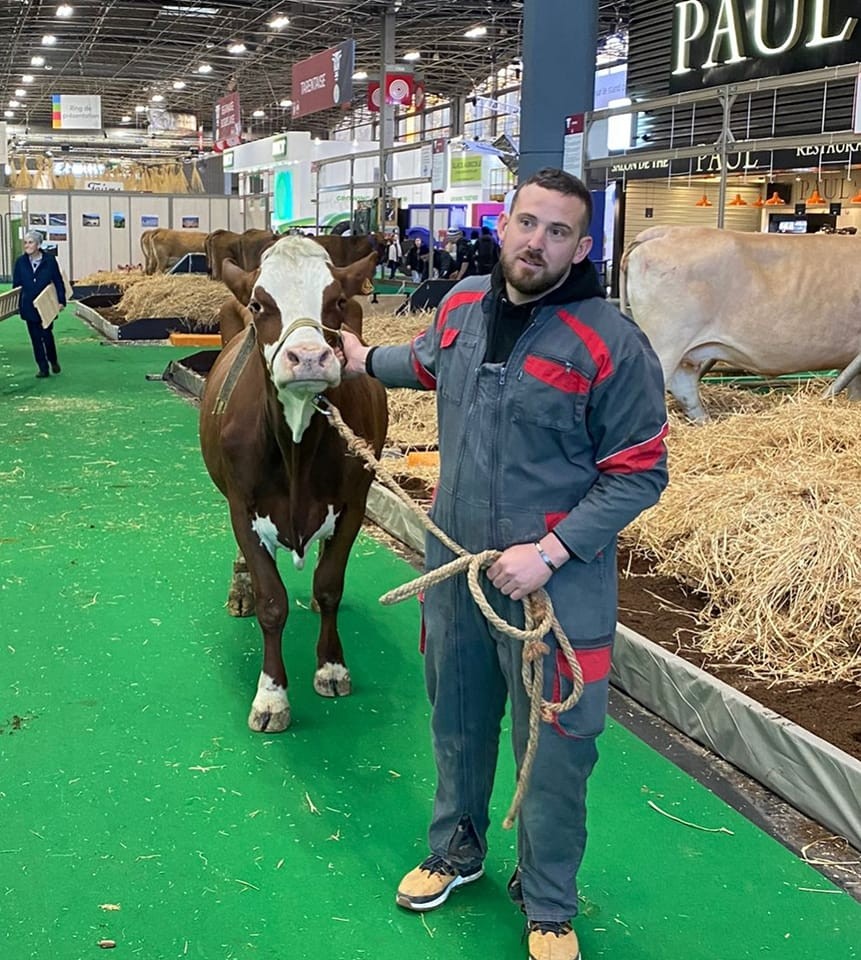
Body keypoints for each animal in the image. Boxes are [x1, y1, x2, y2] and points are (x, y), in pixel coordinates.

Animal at [198, 236, 386, 732]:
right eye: (259, 305)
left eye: (335, 301)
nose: (308, 358)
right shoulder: (242, 508)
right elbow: (272, 603)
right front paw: (271, 697)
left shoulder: (353, 504)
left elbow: (329, 585)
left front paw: (332, 668)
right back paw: (239, 589)